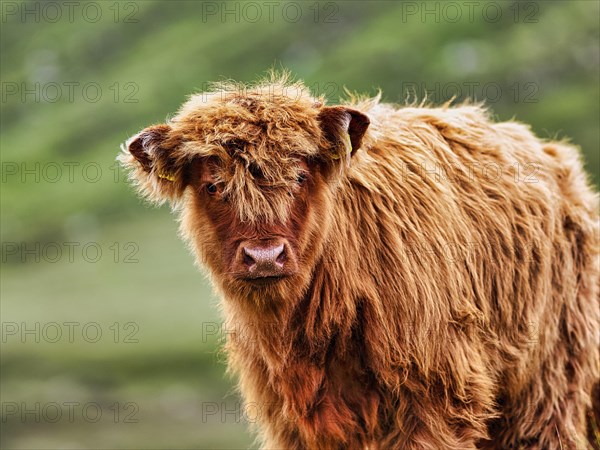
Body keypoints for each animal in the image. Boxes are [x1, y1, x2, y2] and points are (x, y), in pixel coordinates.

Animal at [119, 74, 596, 450]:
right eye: (214, 185)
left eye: (299, 176)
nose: (264, 255)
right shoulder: (293, 421)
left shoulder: (436, 396)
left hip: (548, 380)